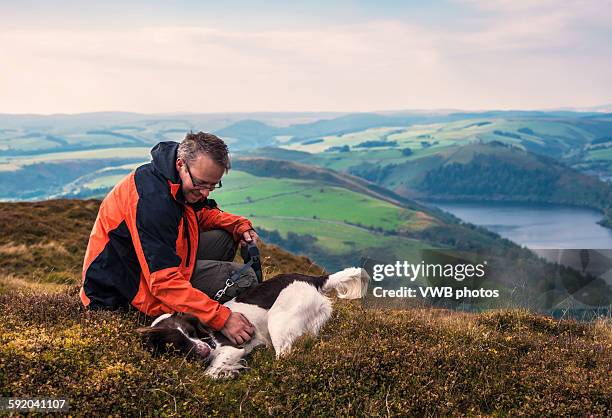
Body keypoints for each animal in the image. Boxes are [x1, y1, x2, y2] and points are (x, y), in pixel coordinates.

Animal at [139, 268, 368, 378]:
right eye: (175, 344)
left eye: (192, 333)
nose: (205, 349)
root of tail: (313, 279)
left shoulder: (231, 348)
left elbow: (208, 374)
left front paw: (229, 372)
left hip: (278, 321)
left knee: (284, 355)